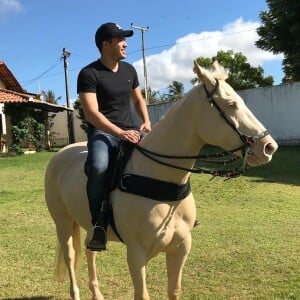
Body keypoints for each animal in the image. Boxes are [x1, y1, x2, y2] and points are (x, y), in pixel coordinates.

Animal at [45, 61, 278, 300]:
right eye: (231, 104)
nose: (269, 147)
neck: (160, 179)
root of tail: (60, 155)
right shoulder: (136, 254)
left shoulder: (181, 248)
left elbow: (174, 290)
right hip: (62, 222)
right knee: (70, 255)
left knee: (89, 250)